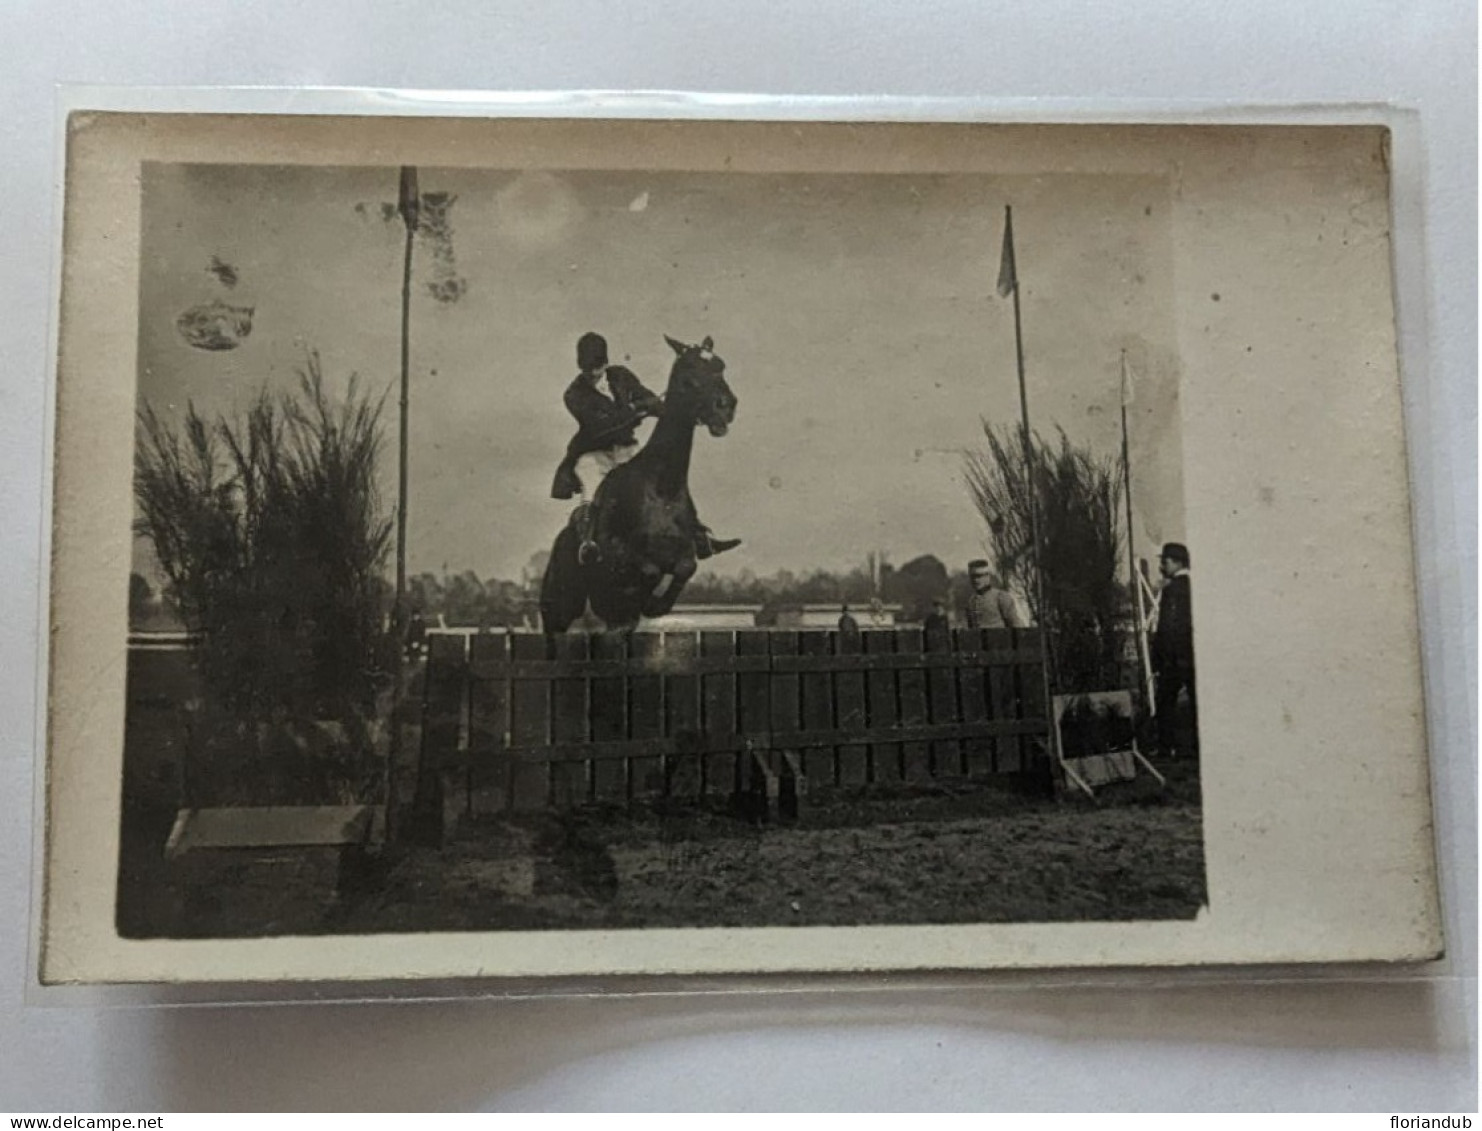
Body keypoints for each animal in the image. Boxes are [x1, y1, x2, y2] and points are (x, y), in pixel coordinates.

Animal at [539, 336, 735, 637]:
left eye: (720, 366)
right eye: (689, 372)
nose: (726, 407)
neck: (663, 487)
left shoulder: (684, 554)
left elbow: (686, 567)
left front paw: (655, 604)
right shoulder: (620, 555)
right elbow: (649, 570)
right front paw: (650, 600)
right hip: (559, 606)